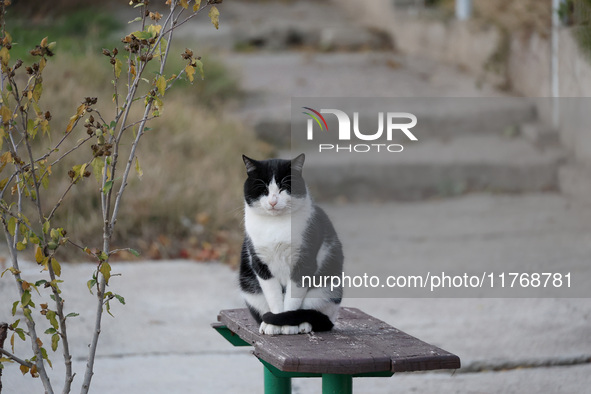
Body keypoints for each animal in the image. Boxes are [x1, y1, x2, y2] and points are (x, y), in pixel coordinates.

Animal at [239, 154, 344, 336]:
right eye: (264, 189)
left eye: (283, 188)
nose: (273, 201)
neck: (275, 225)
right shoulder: (260, 264)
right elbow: (274, 297)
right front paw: (274, 325)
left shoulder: (304, 262)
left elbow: (292, 299)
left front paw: (288, 325)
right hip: (250, 288)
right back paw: (266, 323)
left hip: (327, 289)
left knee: (313, 311)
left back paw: (303, 325)